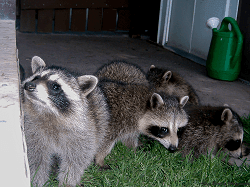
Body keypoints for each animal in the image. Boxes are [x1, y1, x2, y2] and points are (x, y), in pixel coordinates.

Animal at [21, 56, 100, 186]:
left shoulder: (83, 134)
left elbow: (75, 161)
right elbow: (36, 157)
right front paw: (37, 180)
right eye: (36, 78)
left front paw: (67, 181)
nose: (29, 85)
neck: (49, 112)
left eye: (55, 86)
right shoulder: (32, 130)